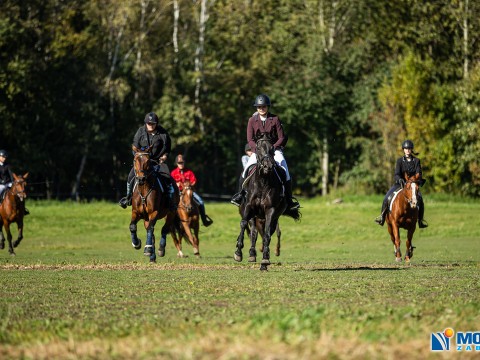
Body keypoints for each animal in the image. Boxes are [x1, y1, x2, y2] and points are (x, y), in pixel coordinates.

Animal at [233, 133, 298, 270]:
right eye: (258, 148)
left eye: (272, 148)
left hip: (273, 217)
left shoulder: (270, 210)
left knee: (267, 233)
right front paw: (238, 252)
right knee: (253, 232)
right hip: (254, 216)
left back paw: (264, 256)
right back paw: (252, 254)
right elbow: (243, 225)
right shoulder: (248, 207)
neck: (263, 181)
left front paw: (265, 260)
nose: (268, 165)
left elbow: (267, 234)